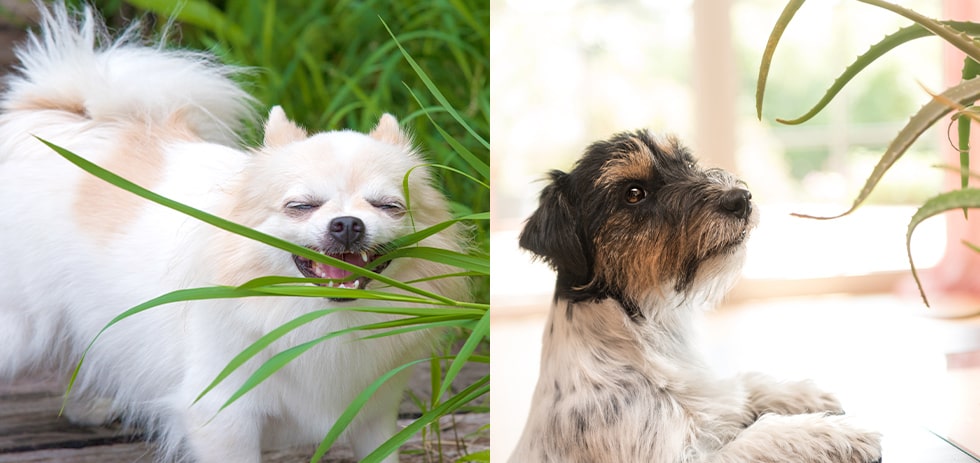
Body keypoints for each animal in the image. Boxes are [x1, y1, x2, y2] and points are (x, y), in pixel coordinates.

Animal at [0, 4, 466, 463]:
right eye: (301, 206)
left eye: (388, 206)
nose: (348, 224)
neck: (321, 319)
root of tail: (61, 114)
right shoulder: (223, 417)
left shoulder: (374, 413)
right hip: (19, 323)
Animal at [510, 131, 884, 463]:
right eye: (634, 193)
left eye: (686, 162)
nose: (740, 198)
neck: (646, 333)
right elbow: (764, 435)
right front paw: (839, 432)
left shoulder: (714, 394)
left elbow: (743, 383)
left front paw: (803, 394)